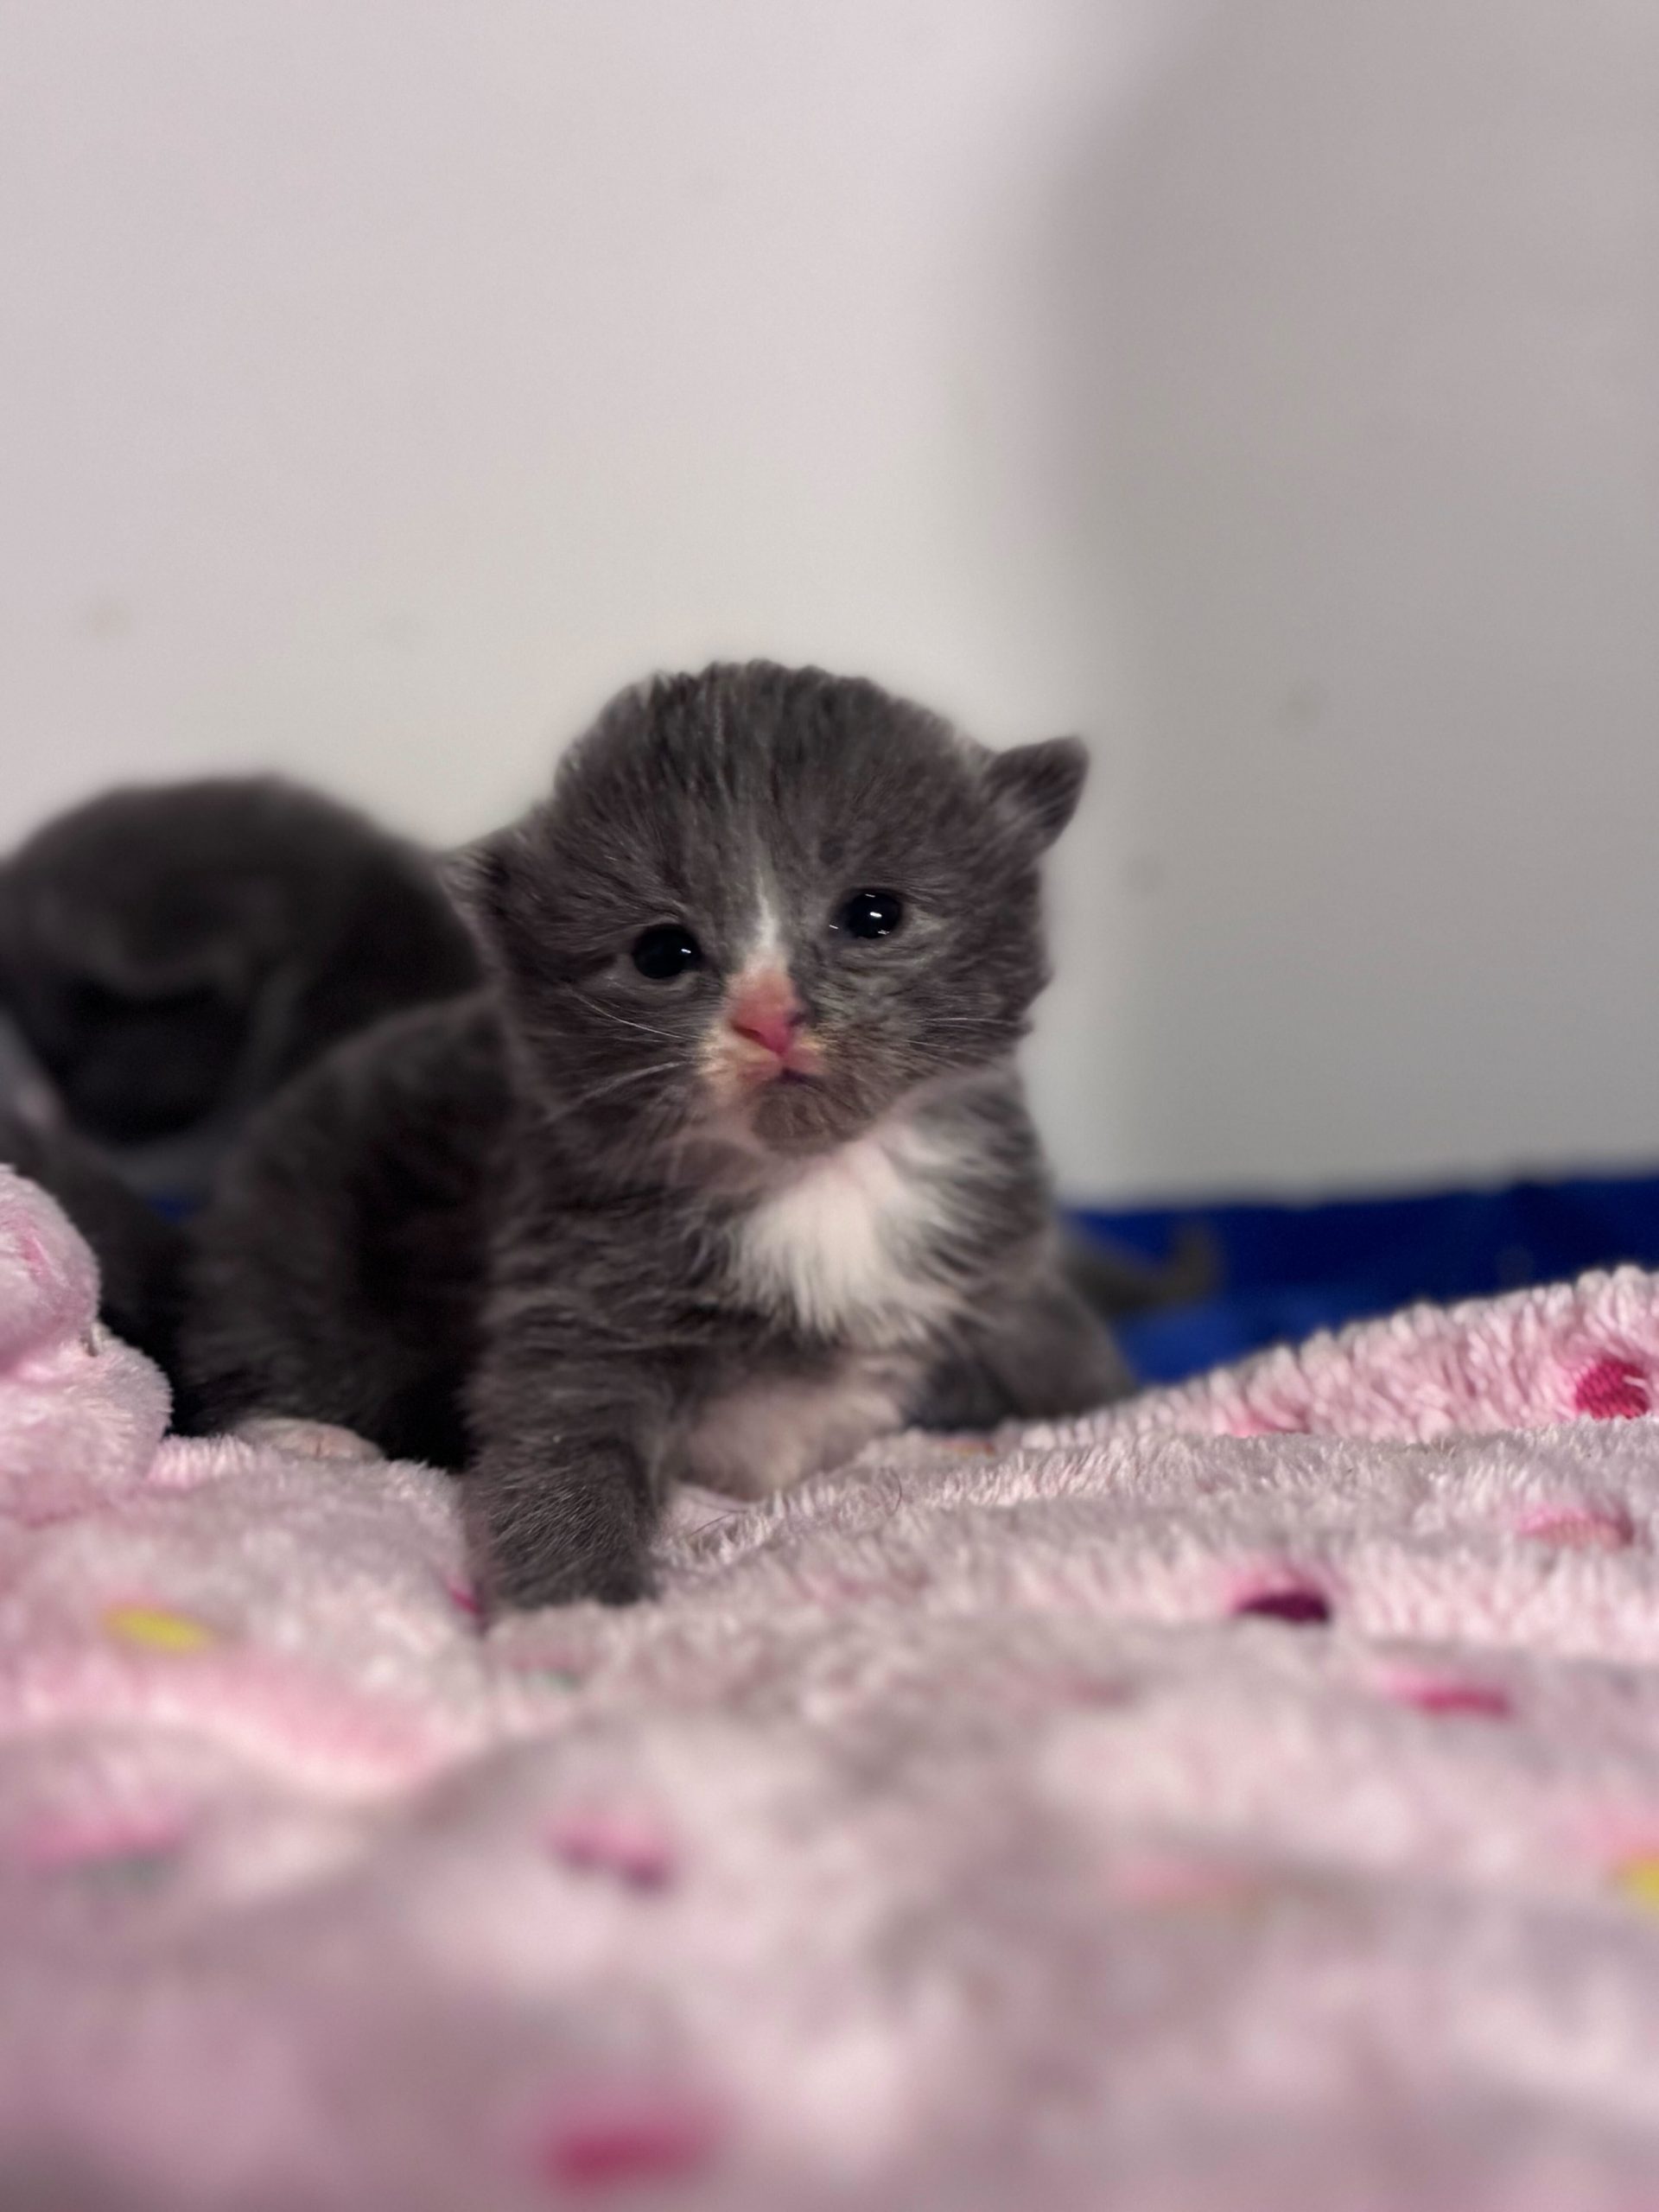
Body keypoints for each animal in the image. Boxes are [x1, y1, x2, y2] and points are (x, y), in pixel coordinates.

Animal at [183, 663, 1132, 1607]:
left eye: (873, 915)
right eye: (663, 954)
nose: (770, 1018)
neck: (817, 1180)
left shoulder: (1001, 1271)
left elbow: (1071, 1366)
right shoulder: (576, 1304)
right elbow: (563, 1453)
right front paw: (581, 1611)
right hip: (288, 1232)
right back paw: (305, 1434)